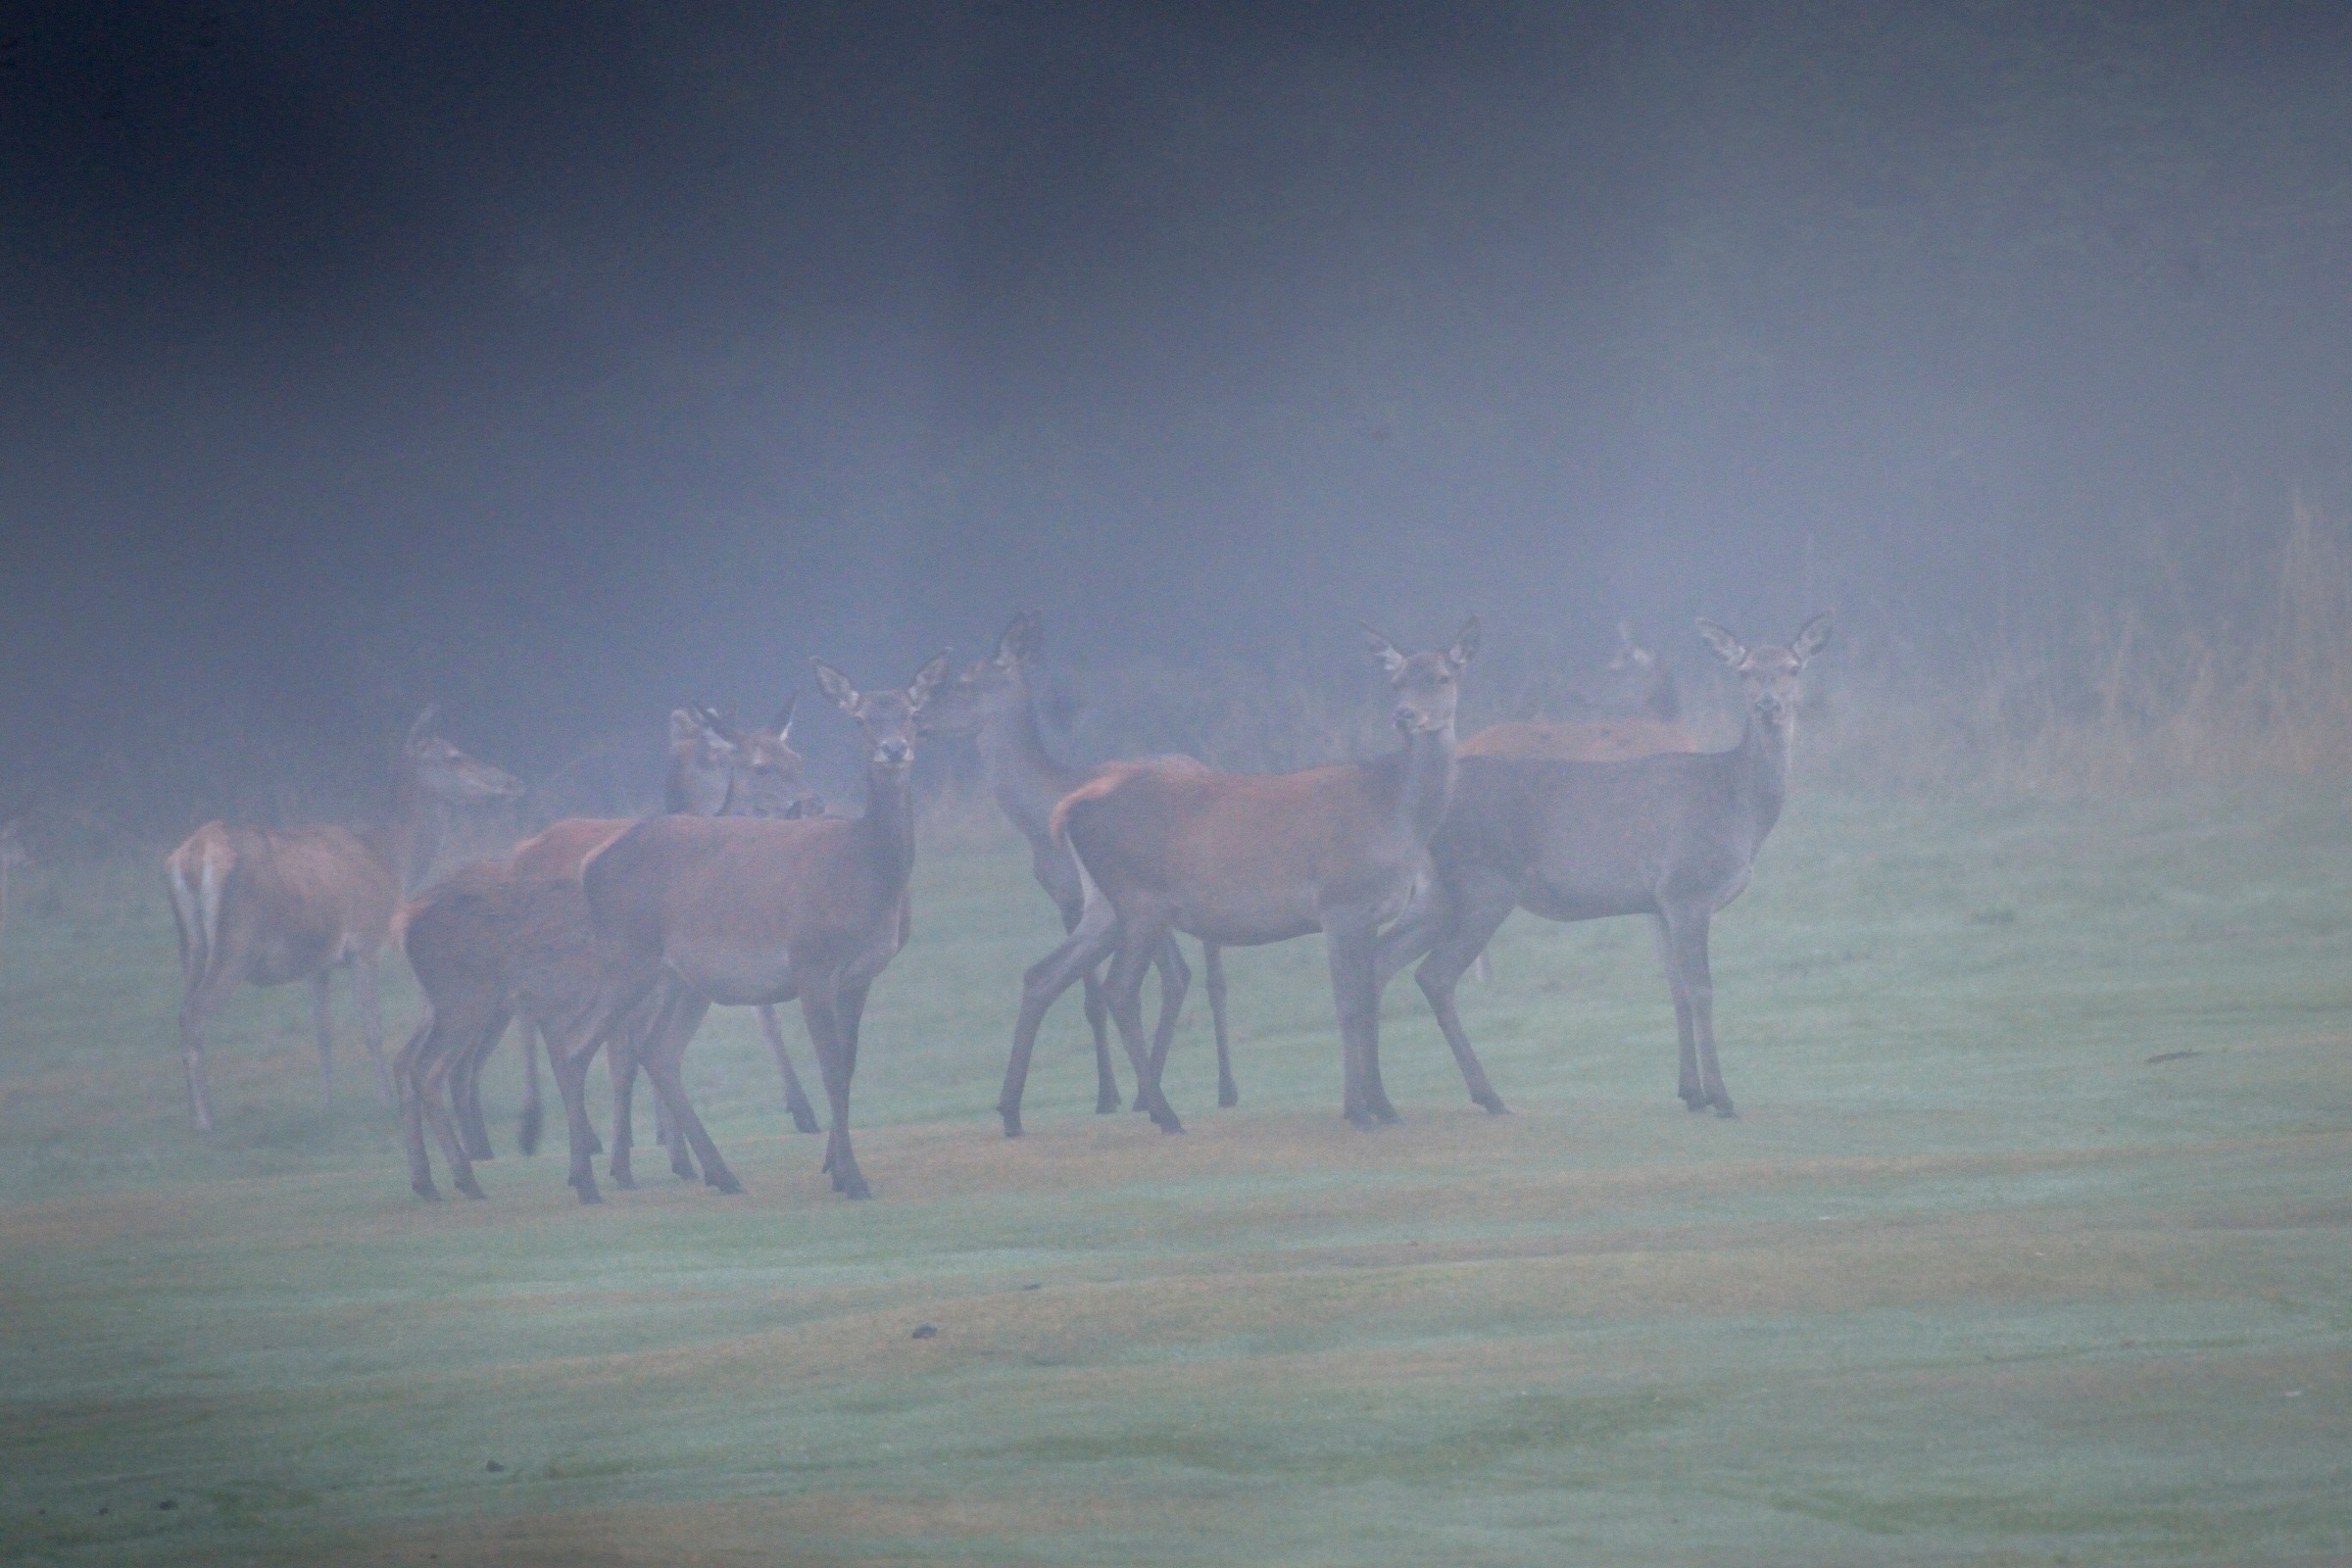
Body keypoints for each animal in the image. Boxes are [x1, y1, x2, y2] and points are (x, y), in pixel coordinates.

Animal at [165, 708, 523, 1131]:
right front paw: (385, 1100)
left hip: (190, 943)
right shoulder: (366, 939)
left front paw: (327, 1102)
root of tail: (192, 857)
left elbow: (323, 1029)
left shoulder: (317, 961)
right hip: (237, 940)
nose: (512, 782)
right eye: (452, 756)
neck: (391, 862)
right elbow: (372, 1025)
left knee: (183, 1012)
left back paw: (193, 1112)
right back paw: (205, 1120)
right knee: (196, 1014)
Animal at [574, 653, 949, 1202]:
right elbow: (830, 1067)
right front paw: (852, 1178)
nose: (894, 748)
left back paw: (718, 1173)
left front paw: (835, 1167)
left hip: (682, 978)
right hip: (626, 958)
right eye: (861, 720)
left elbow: (848, 1065)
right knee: (580, 1046)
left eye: (913, 714)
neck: (861, 870)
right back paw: (589, 1179)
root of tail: (591, 867)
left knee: (655, 1050)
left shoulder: (860, 974)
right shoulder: (812, 962)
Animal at [918, 611, 1236, 1114]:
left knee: (1206, 977)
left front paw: (1111, 1095)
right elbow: (1091, 998)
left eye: (967, 682)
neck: (1041, 814)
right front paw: (1111, 1094)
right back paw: (1164, 1092)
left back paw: (1217, 1088)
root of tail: (1199, 763)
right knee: (1186, 975)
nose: (918, 718)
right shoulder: (1065, 899)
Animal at [1000, 619, 1479, 1137]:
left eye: (1442, 678)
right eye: (1396, 682)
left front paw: (1385, 1107)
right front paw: (1360, 1111)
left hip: (1104, 907)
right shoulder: (1340, 903)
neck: (1394, 814)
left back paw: (1011, 1113)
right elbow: (1349, 1005)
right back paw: (1165, 1114)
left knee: (1042, 975)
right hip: (1141, 900)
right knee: (1119, 990)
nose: (1405, 716)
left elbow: (1368, 1001)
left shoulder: (1371, 912)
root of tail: (1068, 810)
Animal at [1375, 614, 1832, 1119]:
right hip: (1483, 884)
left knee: (1379, 960)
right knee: (1433, 975)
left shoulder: (1658, 901)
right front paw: (1721, 1096)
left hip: (1434, 892)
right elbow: (1702, 989)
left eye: (1793, 668)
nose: (1769, 704)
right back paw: (1488, 1096)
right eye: (1745, 671)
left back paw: (1382, 1102)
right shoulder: (1688, 886)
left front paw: (1690, 1091)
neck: (1736, 805)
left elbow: (1676, 988)